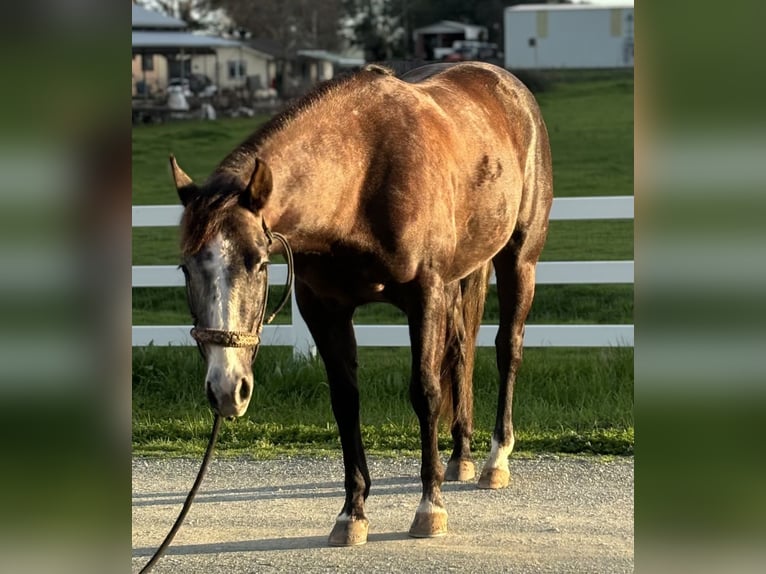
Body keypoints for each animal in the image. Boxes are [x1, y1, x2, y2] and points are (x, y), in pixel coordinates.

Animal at [171, 61, 553, 546]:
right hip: (461, 277)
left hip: (518, 259)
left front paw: (430, 509)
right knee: (461, 352)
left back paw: (495, 459)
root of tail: (507, 85)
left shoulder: (424, 294)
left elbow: (425, 393)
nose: (226, 389)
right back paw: (460, 457)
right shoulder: (324, 308)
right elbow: (345, 400)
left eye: (257, 263)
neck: (360, 178)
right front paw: (351, 513)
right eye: (185, 268)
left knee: (508, 348)